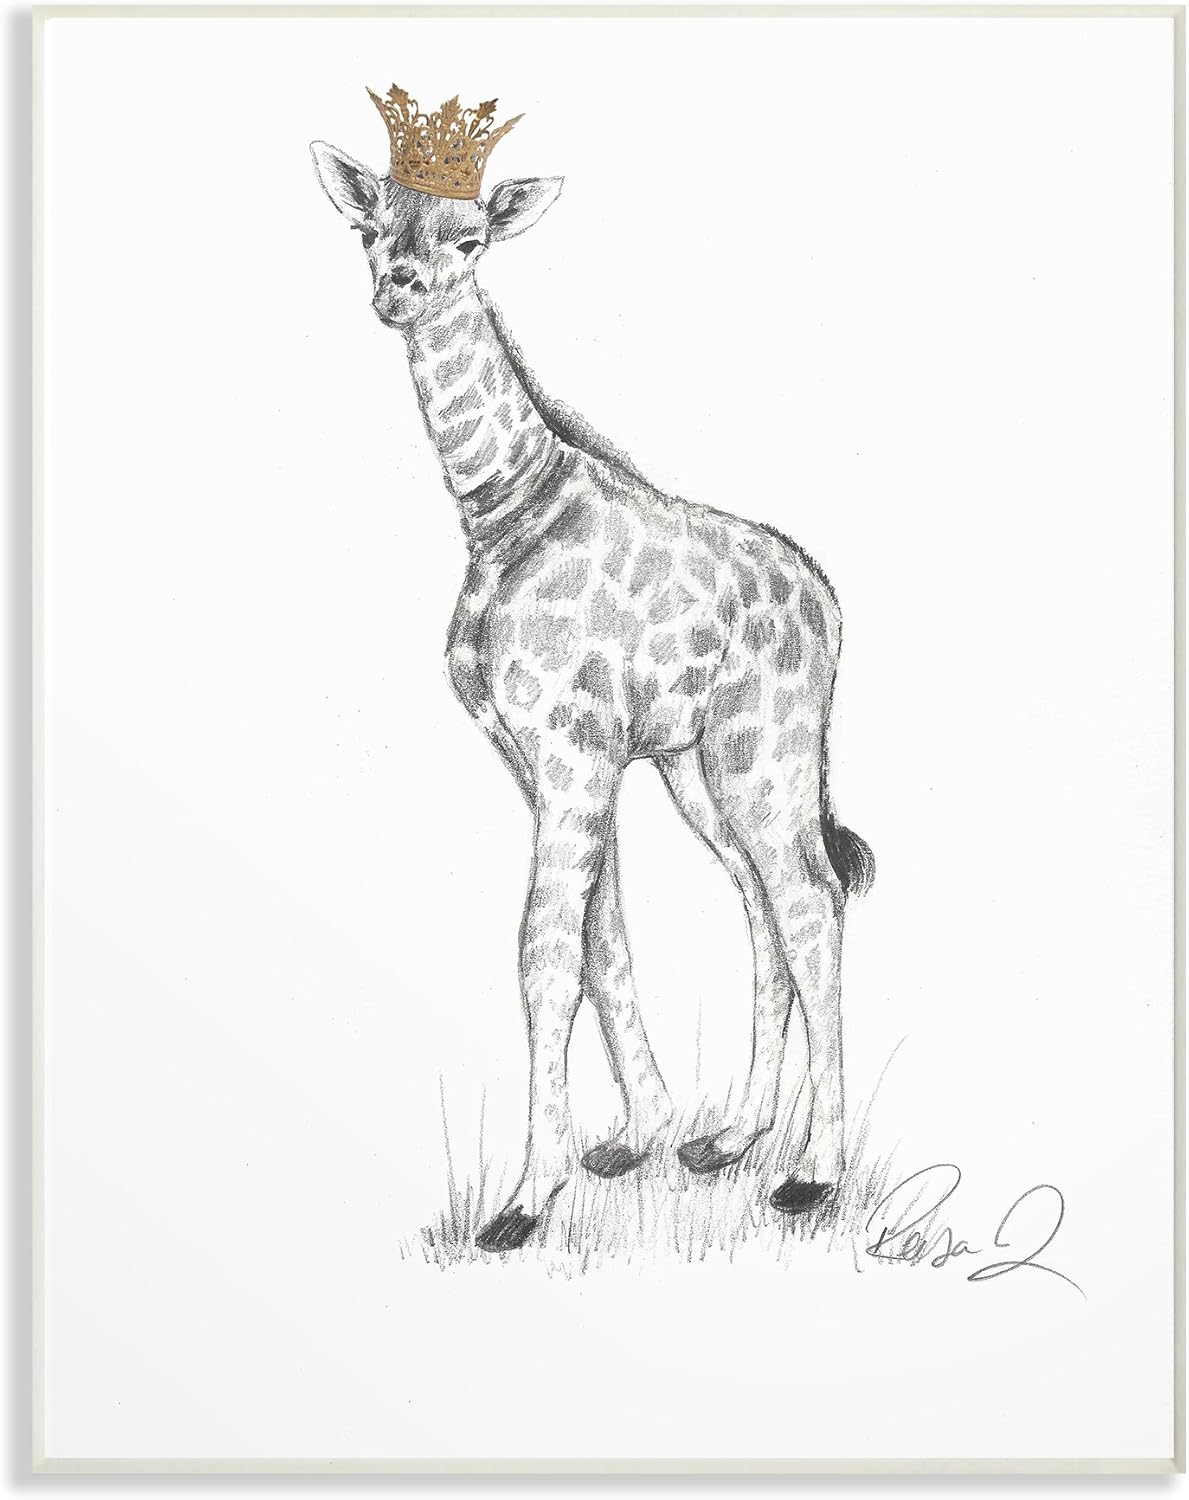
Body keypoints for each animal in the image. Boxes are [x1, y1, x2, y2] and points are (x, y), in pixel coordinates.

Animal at [311, 118, 874, 1255]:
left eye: (473, 239)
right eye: (369, 226)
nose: (398, 289)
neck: (502, 514)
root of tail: (827, 605)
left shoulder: (571, 754)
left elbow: (544, 950)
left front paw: (525, 1201)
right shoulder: (550, 756)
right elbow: (599, 940)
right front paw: (634, 1139)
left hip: (764, 747)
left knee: (811, 897)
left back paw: (809, 1176)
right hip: (699, 766)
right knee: (760, 899)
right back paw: (731, 1138)